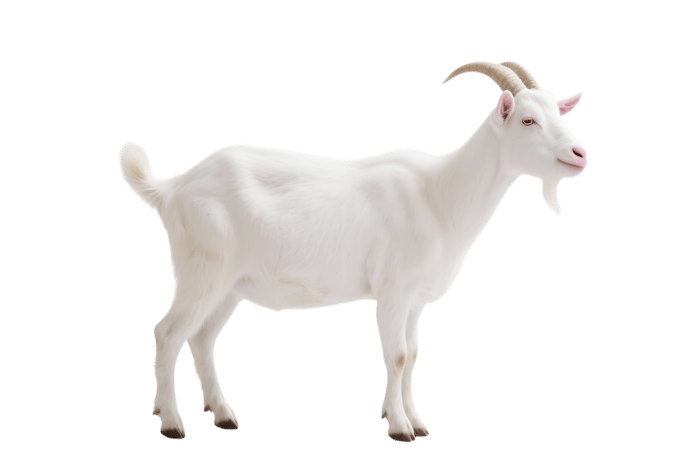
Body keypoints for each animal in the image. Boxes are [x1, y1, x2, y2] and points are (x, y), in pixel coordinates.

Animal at [119, 61, 588, 443]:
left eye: (558, 116)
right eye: (527, 119)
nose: (579, 154)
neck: (439, 194)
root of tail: (173, 188)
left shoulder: (415, 299)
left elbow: (413, 354)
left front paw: (415, 421)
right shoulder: (392, 290)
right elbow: (396, 355)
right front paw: (400, 428)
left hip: (230, 286)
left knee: (202, 339)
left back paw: (222, 415)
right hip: (202, 270)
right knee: (168, 334)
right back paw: (171, 423)